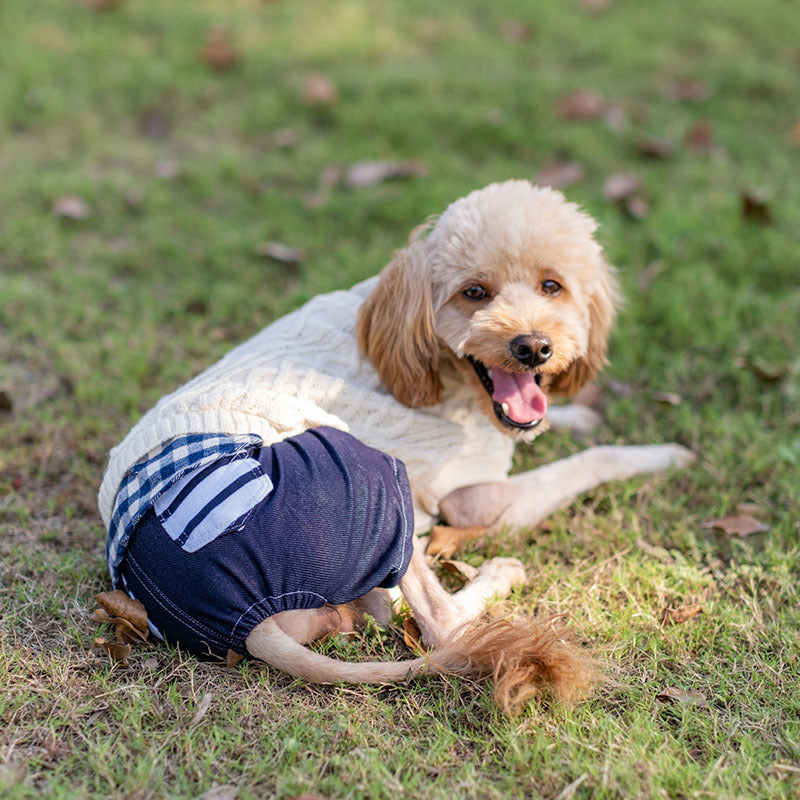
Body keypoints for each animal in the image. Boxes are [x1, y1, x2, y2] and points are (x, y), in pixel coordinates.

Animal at [100, 181, 692, 712]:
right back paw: (495, 573)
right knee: (440, 625)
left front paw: (577, 415)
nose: (533, 347)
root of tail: (242, 621)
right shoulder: (470, 496)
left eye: (553, 286)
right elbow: (589, 462)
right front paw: (662, 453)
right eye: (474, 293)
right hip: (376, 475)